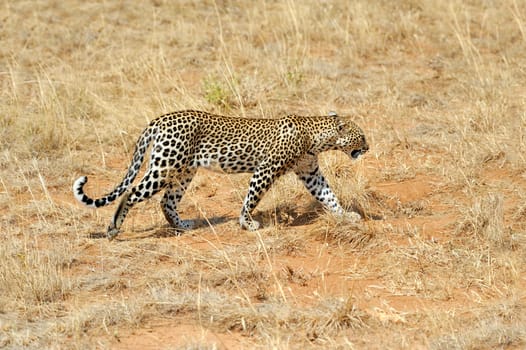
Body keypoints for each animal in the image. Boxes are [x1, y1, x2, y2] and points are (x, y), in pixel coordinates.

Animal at [73, 110, 372, 241]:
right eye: (361, 136)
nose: (368, 147)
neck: (316, 137)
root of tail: (158, 120)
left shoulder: (310, 172)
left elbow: (329, 195)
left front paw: (345, 216)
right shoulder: (266, 169)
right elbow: (252, 198)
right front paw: (247, 223)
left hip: (184, 171)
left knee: (166, 201)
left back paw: (182, 226)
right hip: (165, 166)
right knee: (130, 192)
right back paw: (113, 229)